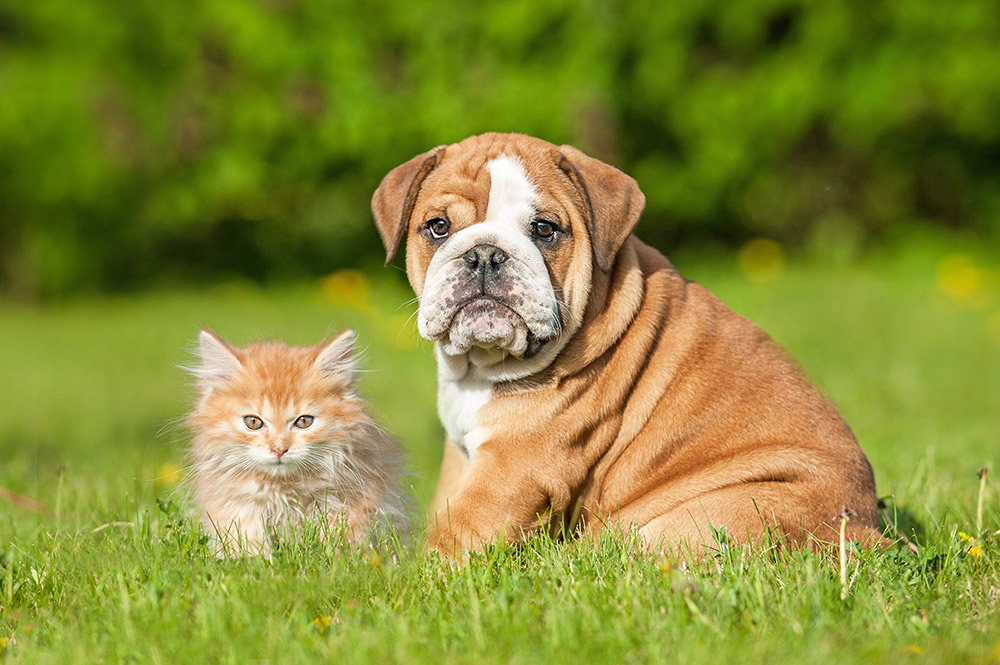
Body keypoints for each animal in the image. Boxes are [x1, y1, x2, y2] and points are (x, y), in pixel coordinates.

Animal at [186, 328, 408, 556]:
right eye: (253, 422)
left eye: (303, 421)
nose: (279, 449)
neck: (284, 487)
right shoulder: (236, 505)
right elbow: (247, 541)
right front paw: (254, 558)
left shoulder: (349, 501)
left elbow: (340, 539)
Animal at [372, 132, 880, 552]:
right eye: (438, 227)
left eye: (545, 230)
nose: (484, 254)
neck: (480, 369)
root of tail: (869, 533)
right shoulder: (463, 458)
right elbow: (443, 507)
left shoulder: (511, 469)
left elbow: (451, 534)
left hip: (717, 513)